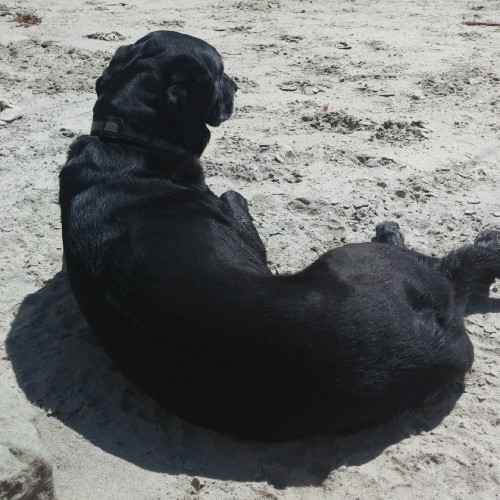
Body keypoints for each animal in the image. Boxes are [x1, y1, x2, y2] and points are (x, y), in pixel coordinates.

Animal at [59, 31, 500, 440]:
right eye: (220, 72)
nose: (236, 83)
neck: (127, 141)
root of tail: (441, 344)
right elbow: (233, 196)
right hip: (353, 258)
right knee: (437, 262)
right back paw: (408, 236)